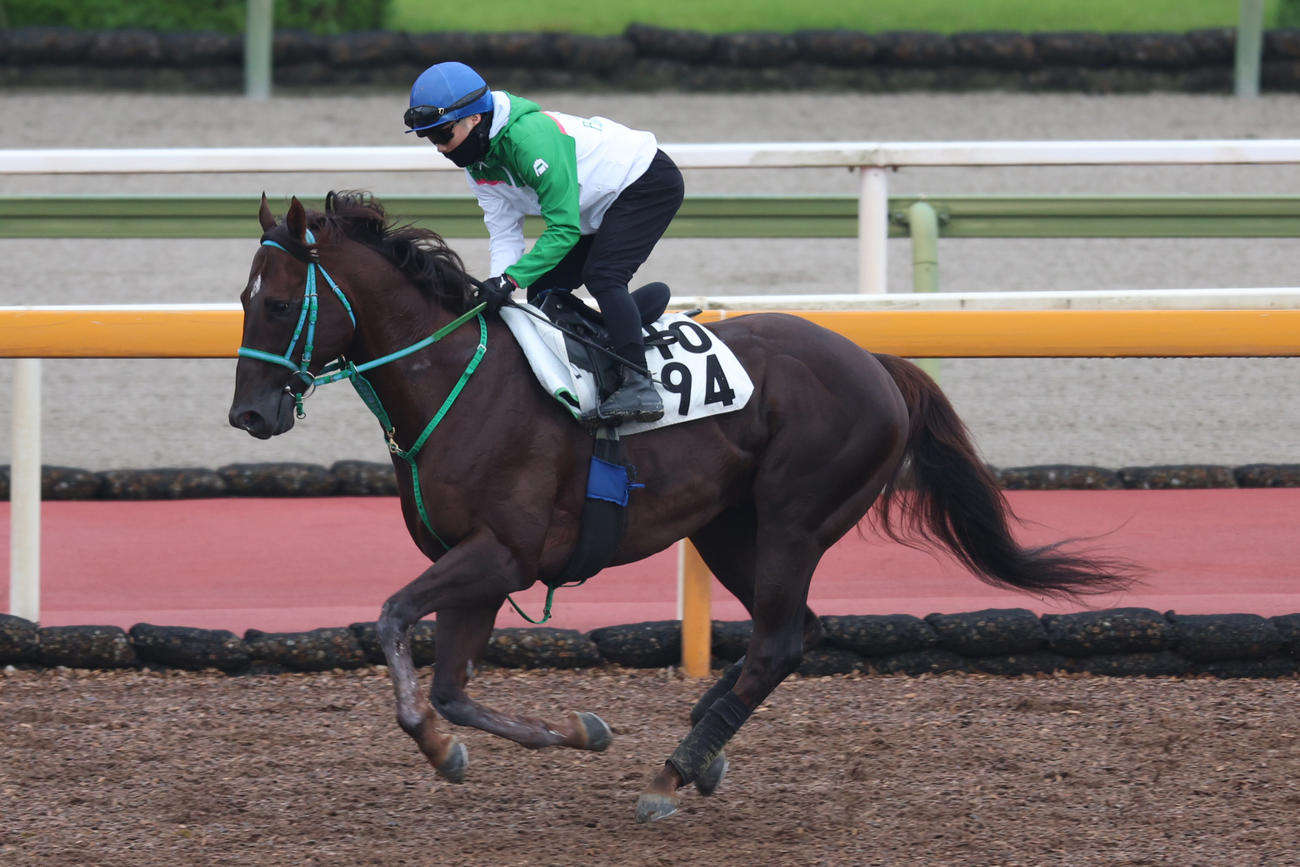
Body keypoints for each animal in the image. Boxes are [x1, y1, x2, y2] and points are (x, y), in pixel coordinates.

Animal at [229, 191, 1136, 823]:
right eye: (241, 300)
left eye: (277, 304)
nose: (249, 415)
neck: (460, 380)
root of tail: (876, 362)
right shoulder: (478, 565)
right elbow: (453, 686)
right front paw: (567, 731)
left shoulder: (501, 553)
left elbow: (390, 617)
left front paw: (433, 738)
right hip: (729, 528)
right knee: (793, 634)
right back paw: (703, 748)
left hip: (794, 518)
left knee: (777, 641)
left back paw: (675, 769)